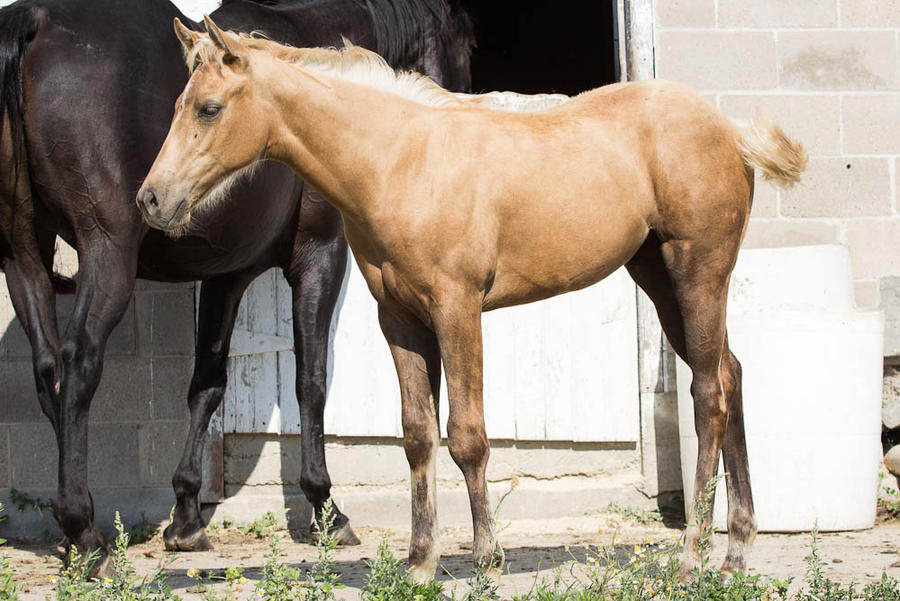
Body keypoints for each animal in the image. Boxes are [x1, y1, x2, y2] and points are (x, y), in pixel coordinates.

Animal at [0, 0, 474, 568]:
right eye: (469, 45)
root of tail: (34, 19)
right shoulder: (320, 257)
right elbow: (311, 380)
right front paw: (327, 508)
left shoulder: (226, 274)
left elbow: (207, 384)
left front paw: (186, 517)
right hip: (106, 253)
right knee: (77, 365)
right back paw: (86, 535)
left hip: (22, 256)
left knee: (48, 370)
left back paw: (77, 534)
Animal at [141, 17, 808, 580]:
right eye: (175, 105)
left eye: (209, 108)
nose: (152, 200)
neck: (399, 162)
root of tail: (729, 131)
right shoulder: (399, 319)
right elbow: (417, 435)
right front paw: (419, 562)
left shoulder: (456, 308)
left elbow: (467, 434)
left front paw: (486, 557)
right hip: (659, 276)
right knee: (731, 373)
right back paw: (738, 548)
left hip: (698, 270)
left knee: (709, 393)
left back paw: (695, 555)